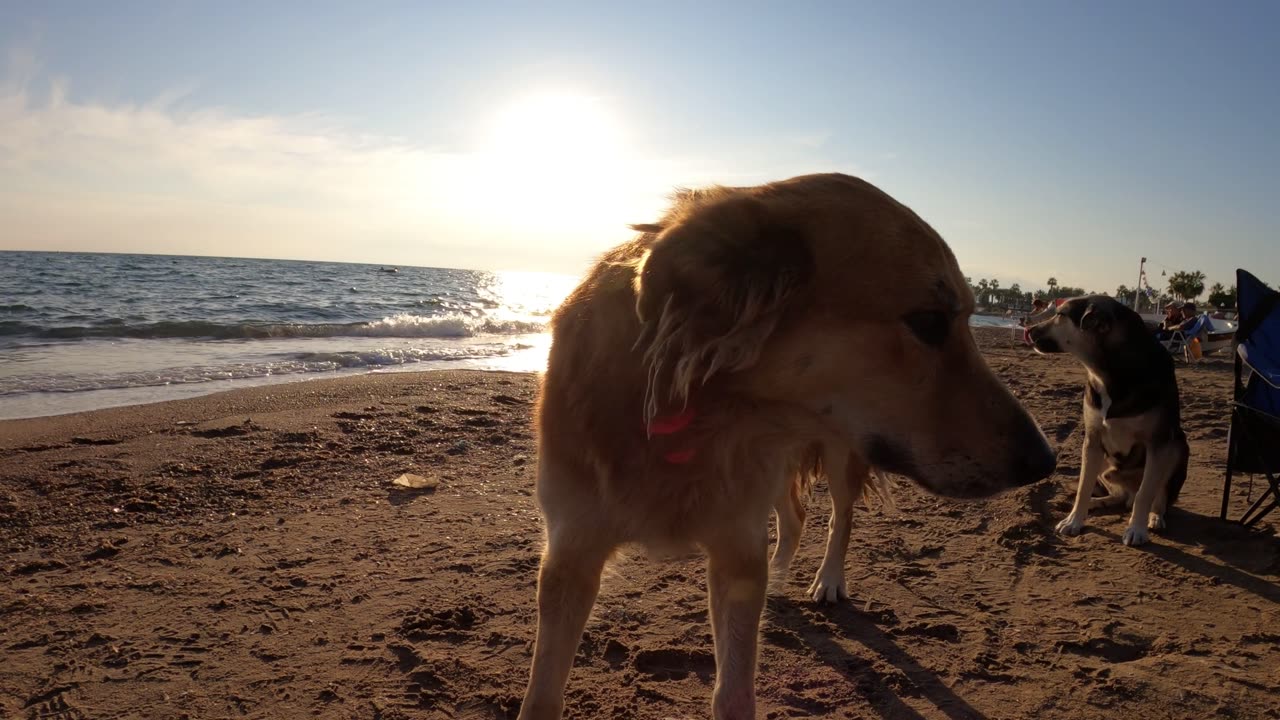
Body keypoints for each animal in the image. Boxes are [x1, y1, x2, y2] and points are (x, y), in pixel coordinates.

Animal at [514, 170, 1054, 712]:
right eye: (929, 321)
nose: (1045, 461)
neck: (695, 416)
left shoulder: (735, 548)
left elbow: (734, 694)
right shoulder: (572, 550)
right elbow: (541, 696)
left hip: (838, 455)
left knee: (839, 516)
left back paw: (827, 579)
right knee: (794, 517)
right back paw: (778, 575)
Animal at [1018, 293, 1187, 543]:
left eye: (1060, 314)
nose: (1028, 329)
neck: (1109, 373)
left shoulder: (1159, 443)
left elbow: (1146, 493)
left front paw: (1136, 529)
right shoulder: (1093, 440)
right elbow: (1083, 486)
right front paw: (1074, 520)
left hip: (1177, 447)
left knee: (1157, 496)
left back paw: (1154, 517)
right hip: (1106, 462)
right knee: (1118, 495)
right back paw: (1097, 503)